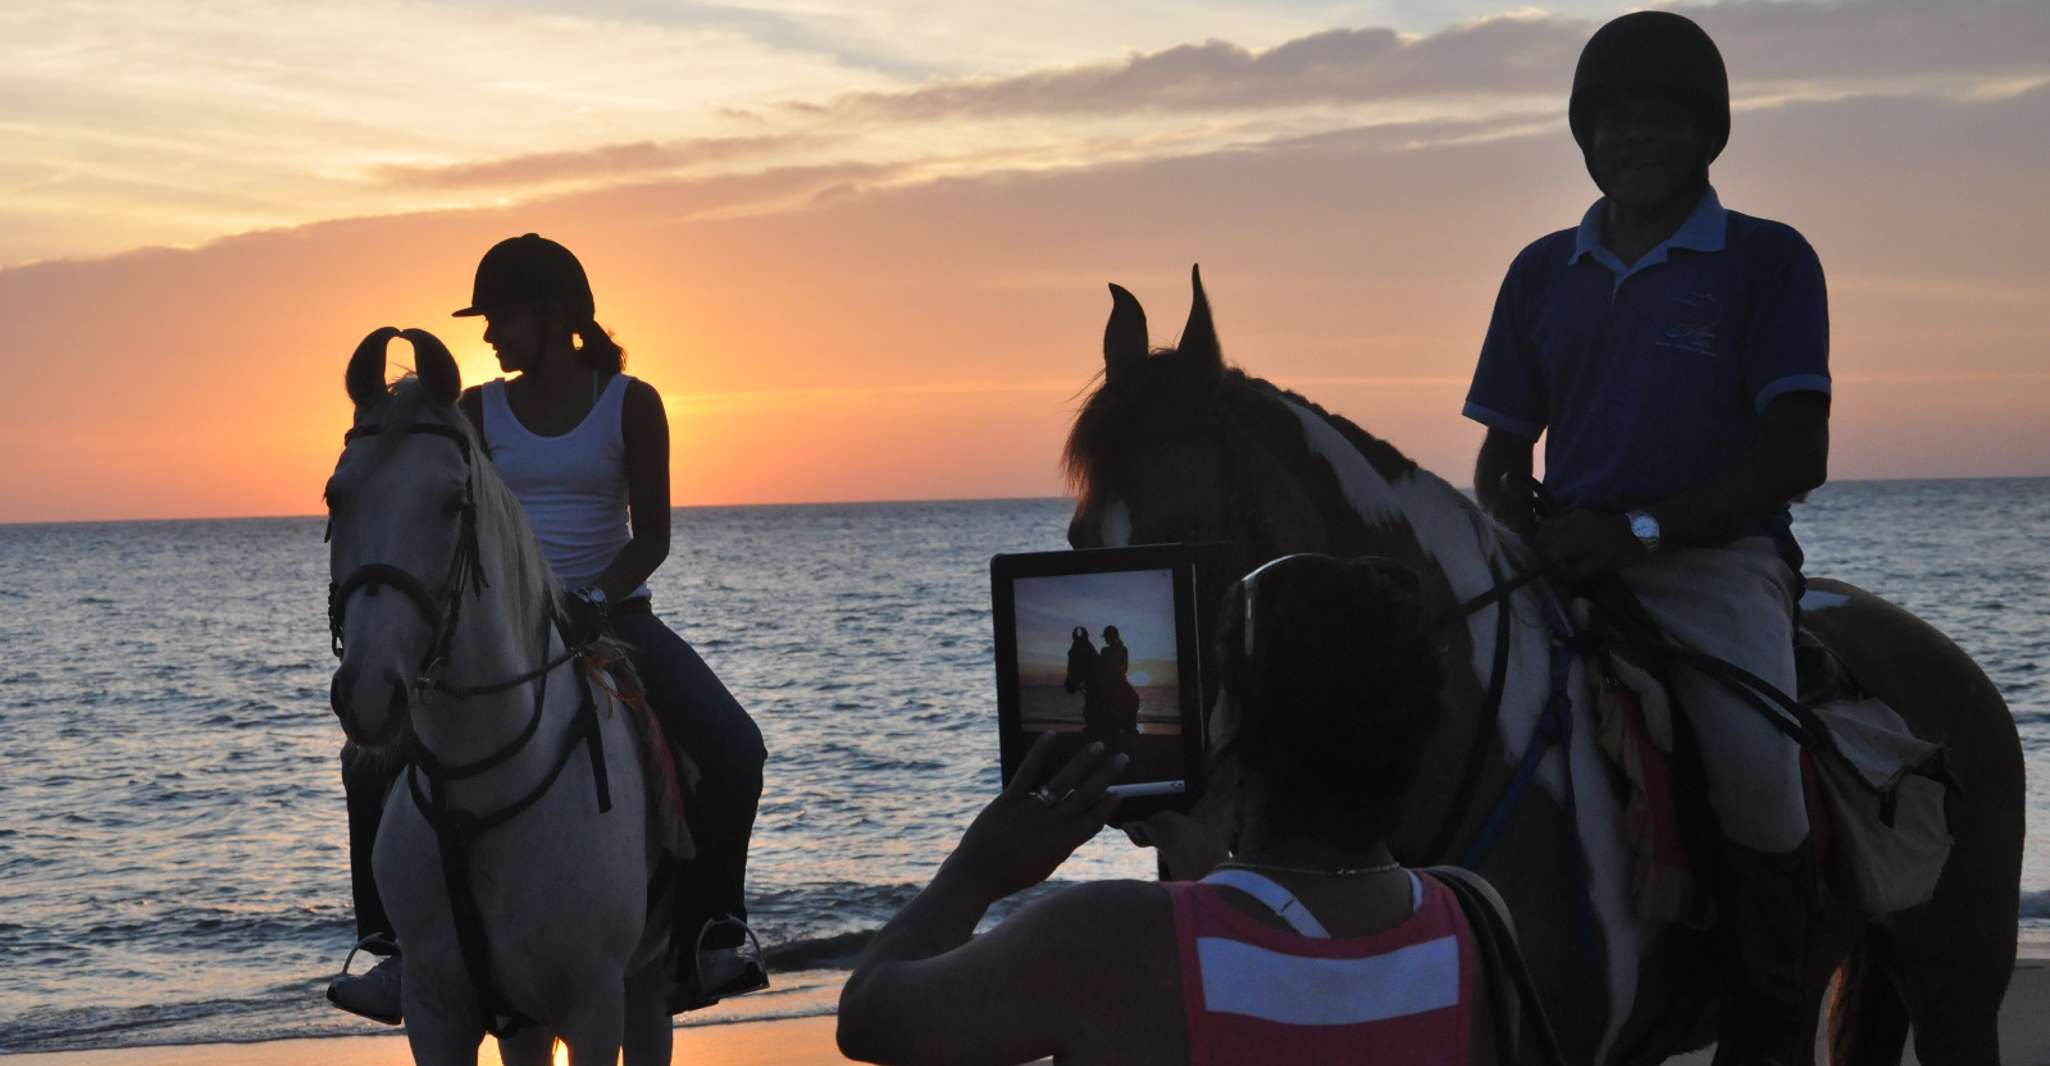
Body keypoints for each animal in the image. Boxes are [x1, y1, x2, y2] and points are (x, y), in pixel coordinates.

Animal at [321, 325, 672, 1066]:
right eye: (335, 496)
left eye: (454, 504)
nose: (369, 693)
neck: (479, 788)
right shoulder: (436, 1013)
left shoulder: (593, 1006)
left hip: (648, 981)